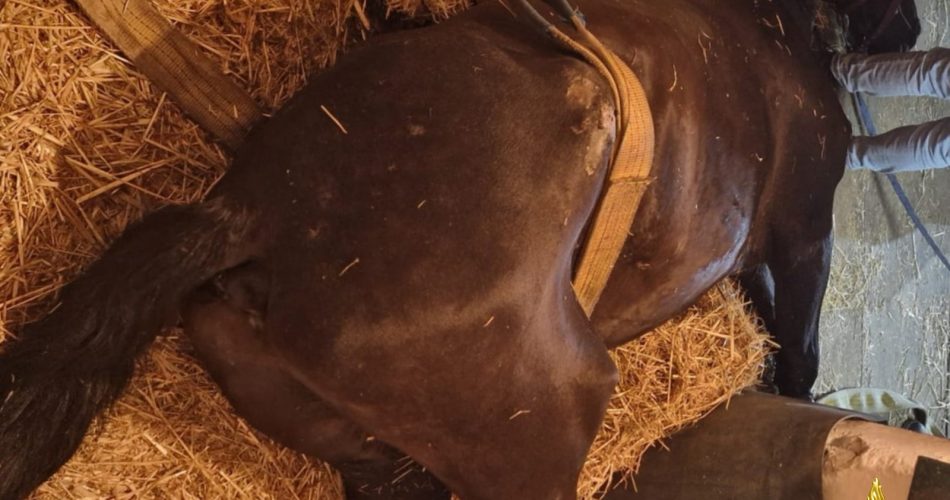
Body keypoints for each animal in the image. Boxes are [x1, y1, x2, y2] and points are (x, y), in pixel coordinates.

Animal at [0, 0, 921, 498]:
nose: (913, 28)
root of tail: (250, 217)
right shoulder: (805, 228)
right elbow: (799, 347)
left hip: (373, 457)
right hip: (539, 430)